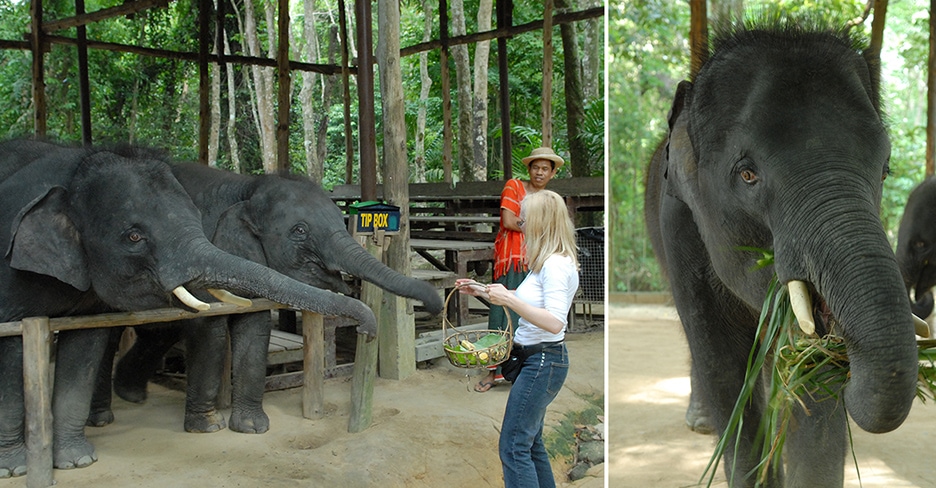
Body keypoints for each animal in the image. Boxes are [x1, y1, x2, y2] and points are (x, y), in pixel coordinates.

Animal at [88, 164, 442, 434]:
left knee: (159, 331)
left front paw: (252, 428)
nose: (437, 306)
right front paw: (209, 428)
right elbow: (209, 329)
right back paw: (101, 418)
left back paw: (131, 394)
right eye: (299, 230)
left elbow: (256, 327)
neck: (246, 186)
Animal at [648, 20, 916, 488]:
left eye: (884, 170)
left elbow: (815, 369)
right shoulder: (678, 229)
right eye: (747, 174)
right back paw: (702, 422)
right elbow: (724, 367)